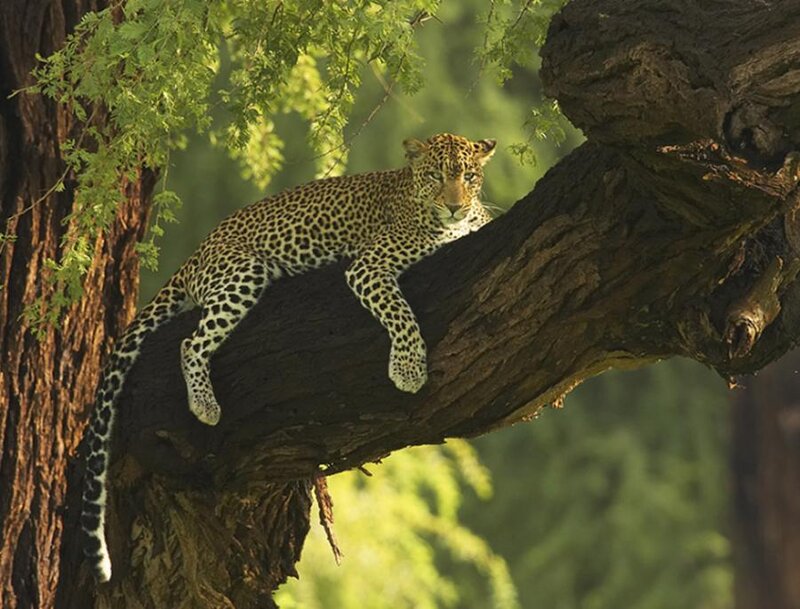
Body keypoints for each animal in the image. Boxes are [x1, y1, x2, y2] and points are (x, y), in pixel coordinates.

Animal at [80, 132, 497, 582]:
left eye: (469, 177)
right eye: (436, 175)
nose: (455, 205)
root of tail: (197, 252)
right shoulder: (368, 266)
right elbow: (400, 313)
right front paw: (407, 368)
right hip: (243, 272)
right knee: (190, 343)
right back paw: (204, 404)